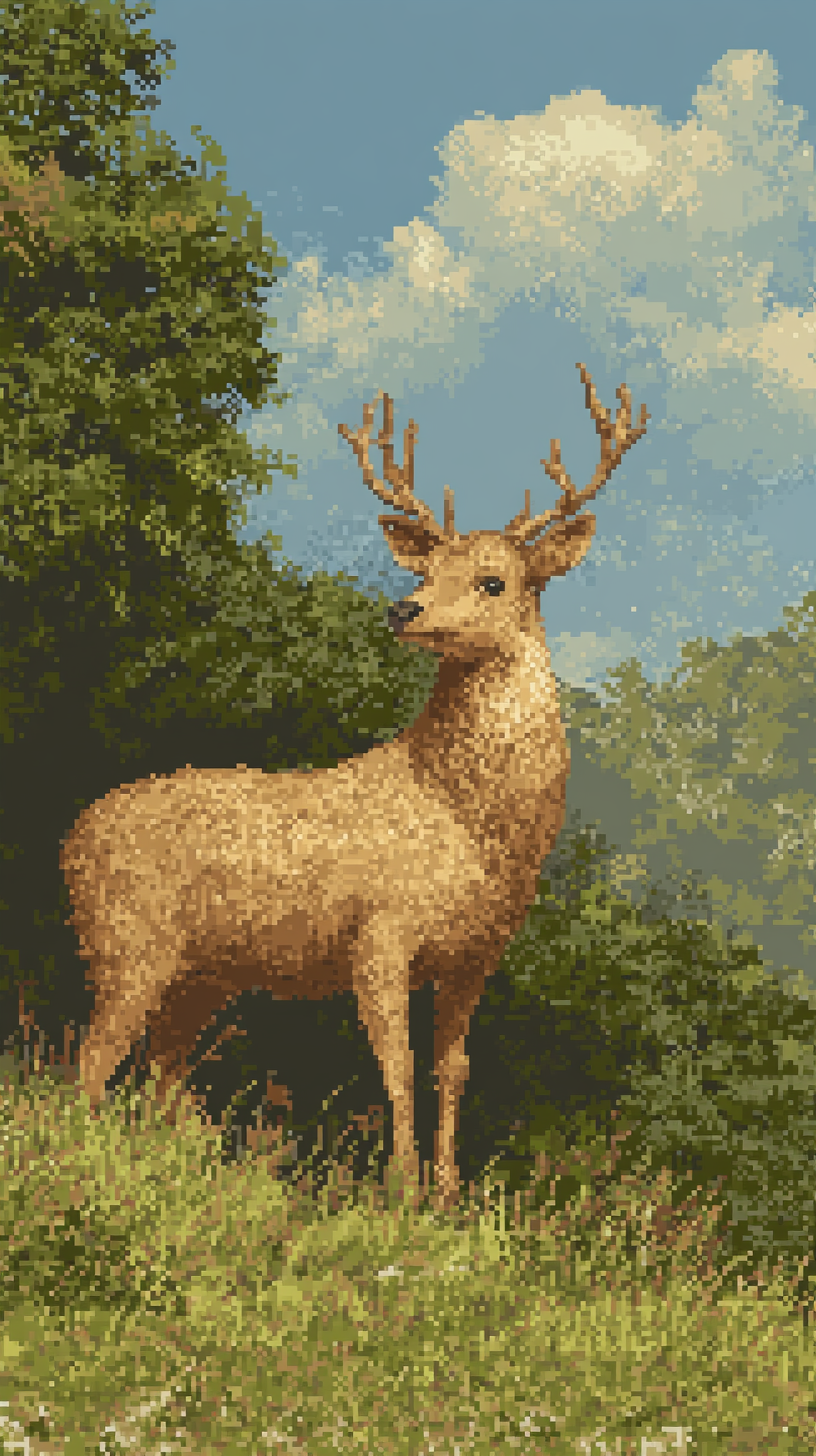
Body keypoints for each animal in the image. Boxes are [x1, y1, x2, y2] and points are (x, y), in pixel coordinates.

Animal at [60, 363, 647, 1205]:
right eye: (425, 570)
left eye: (494, 581)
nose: (404, 607)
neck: (468, 826)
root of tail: (70, 837)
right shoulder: (381, 930)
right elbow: (395, 1063)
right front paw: (400, 1190)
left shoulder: (476, 954)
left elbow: (454, 1068)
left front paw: (449, 1196)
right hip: (125, 936)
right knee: (91, 1058)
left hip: (201, 972)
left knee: (159, 1068)